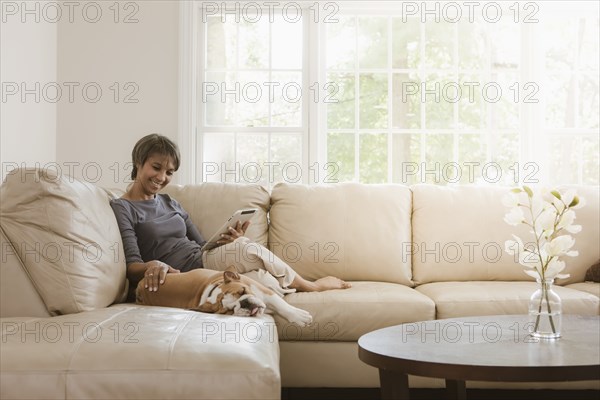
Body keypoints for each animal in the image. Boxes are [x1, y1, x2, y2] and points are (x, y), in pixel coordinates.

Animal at [137, 268, 314, 326]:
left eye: (243, 291)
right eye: (229, 311)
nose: (244, 304)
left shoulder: (263, 291)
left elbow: (282, 305)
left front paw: (298, 316)